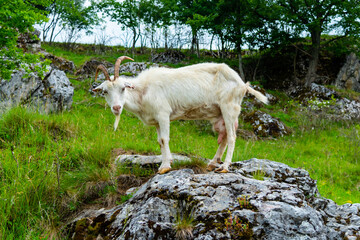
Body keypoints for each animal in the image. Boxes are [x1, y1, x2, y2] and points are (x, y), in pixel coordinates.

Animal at [93, 55, 268, 174]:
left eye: (123, 88)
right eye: (105, 91)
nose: (116, 108)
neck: (143, 91)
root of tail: (242, 84)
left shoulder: (163, 113)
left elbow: (165, 139)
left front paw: (165, 167)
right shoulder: (157, 120)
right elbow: (160, 141)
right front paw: (166, 162)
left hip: (229, 107)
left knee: (231, 137)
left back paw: (224, 167)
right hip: (220, 114)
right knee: (224, 137)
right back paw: (213, 163)